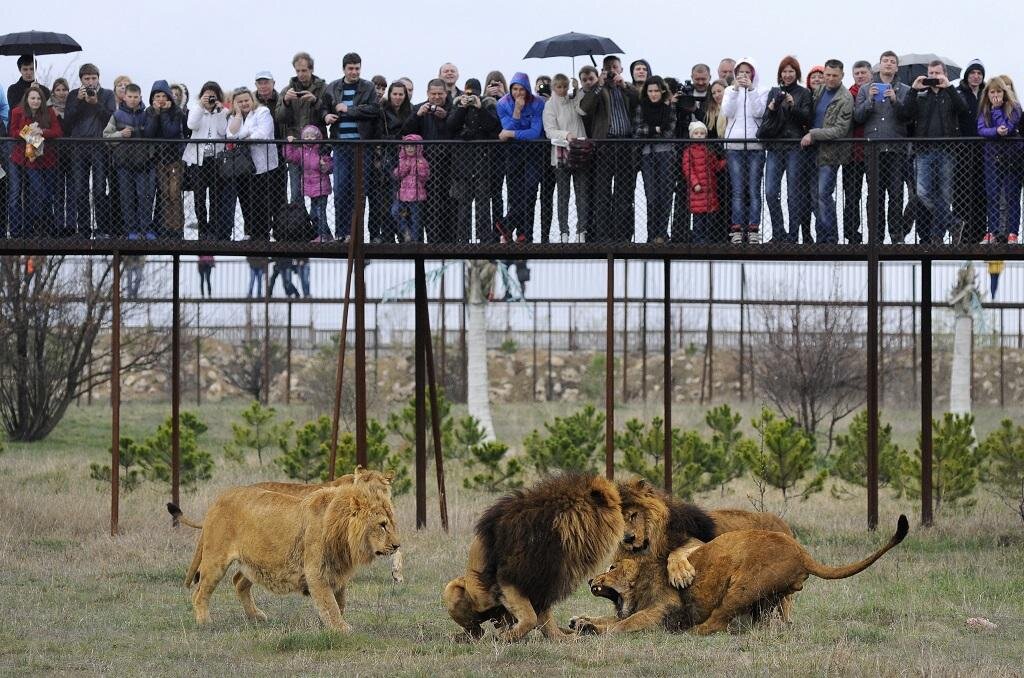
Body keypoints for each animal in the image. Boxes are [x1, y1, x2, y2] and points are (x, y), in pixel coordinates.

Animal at [169, 483, 397, 630]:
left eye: (391, 524)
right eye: (382, 525)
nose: (397, 545)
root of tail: (216, 501)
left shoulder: (337, 572)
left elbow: (339, 602)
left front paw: (332, 625)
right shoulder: (317, 573)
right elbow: (330, 604)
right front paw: (341, 628)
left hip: (254, 563)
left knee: (238, 581)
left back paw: (256, 616)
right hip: (216, 560)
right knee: (200, 592)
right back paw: (204, 622)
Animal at [446, 473, 626, 643]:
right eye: (620, 508)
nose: (629, 536)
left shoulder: (544, 583)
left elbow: (544, 620)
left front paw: (561, 637)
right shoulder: (510, 577)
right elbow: (530, 618)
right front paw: (507, 637)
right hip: (453, 588)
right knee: (476, 630)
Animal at [573, 516, 909, 639]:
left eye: (612, 567)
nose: (589, 581)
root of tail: (802, 552)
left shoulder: (662, 611)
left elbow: (625, 623)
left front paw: (594, 629)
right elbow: (612, 618)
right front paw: (581, 621)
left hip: (742, 586)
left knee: (715, 624)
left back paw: (689, 632)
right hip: (765, 599)